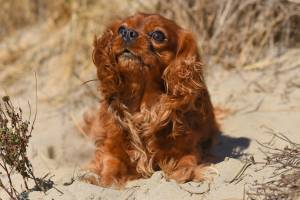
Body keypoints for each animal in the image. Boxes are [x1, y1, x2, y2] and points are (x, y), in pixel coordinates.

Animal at [83, 13, 219, 187]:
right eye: (121, 29)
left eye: (158, 35)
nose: (128, 34)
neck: (142, 106)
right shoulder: (112, 150)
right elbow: (109, 171)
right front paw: (104, 181)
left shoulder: (187, 150)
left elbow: (186, 164)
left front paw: (183, 173)